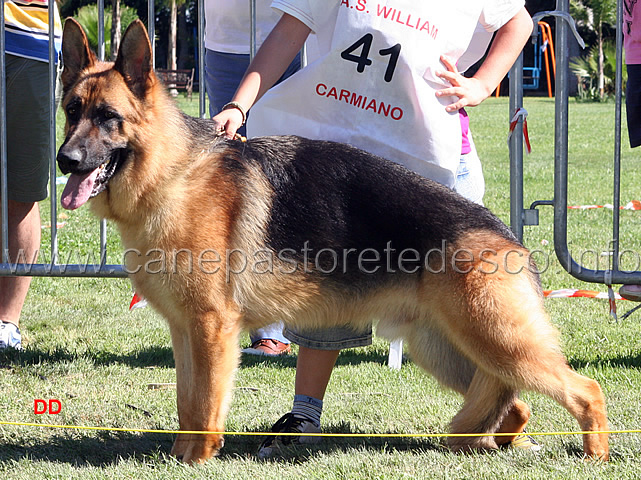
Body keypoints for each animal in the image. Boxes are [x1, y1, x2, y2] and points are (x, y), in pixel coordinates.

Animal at [57, 19, 608, 464]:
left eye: (108, 118)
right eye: (71, 111)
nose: (65, 160)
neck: (172, 172)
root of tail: (508, 235)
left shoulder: (212, 329)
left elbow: (206, 404)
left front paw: (196, 460)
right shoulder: (185, 331)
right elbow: (187, 402)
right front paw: (177, 455)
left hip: (498, 342)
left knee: (584, 389)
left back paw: (595, 453)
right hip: (447, 349)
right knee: (513, 404)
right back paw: (484, 444)